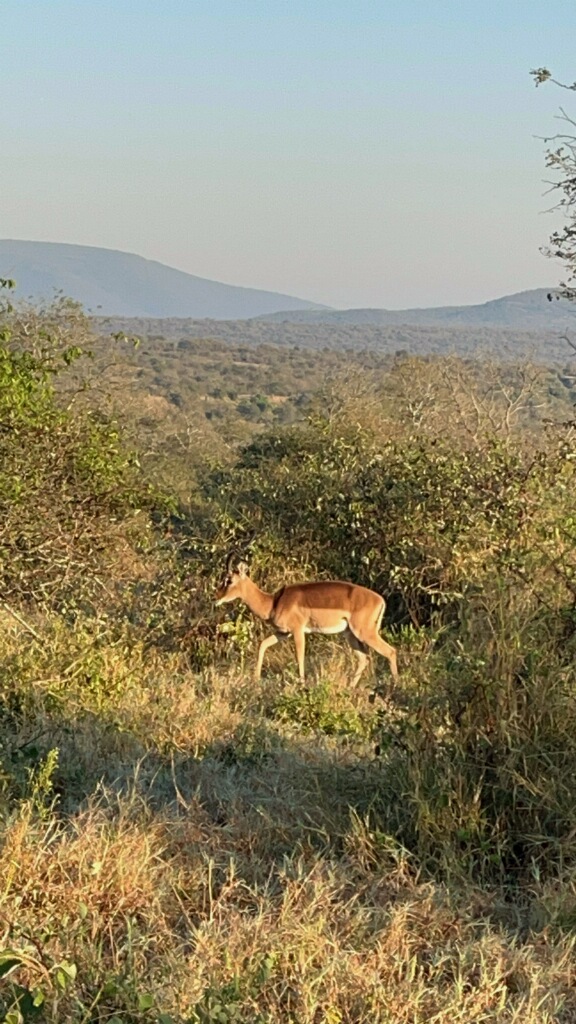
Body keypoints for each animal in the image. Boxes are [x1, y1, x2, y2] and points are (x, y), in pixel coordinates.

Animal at [214, 554, 398, 687]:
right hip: (350, 635)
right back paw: (350, 688)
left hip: (365, 632)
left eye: (229, 580)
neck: (274, 602)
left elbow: (299, 656)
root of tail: (380, 600)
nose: (217, 598)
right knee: (364, 658)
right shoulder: (283, 633)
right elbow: (263, 645)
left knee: (390, 651)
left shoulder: (297, 630)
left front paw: (302, 684)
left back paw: (395, 687)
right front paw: (255, 679)